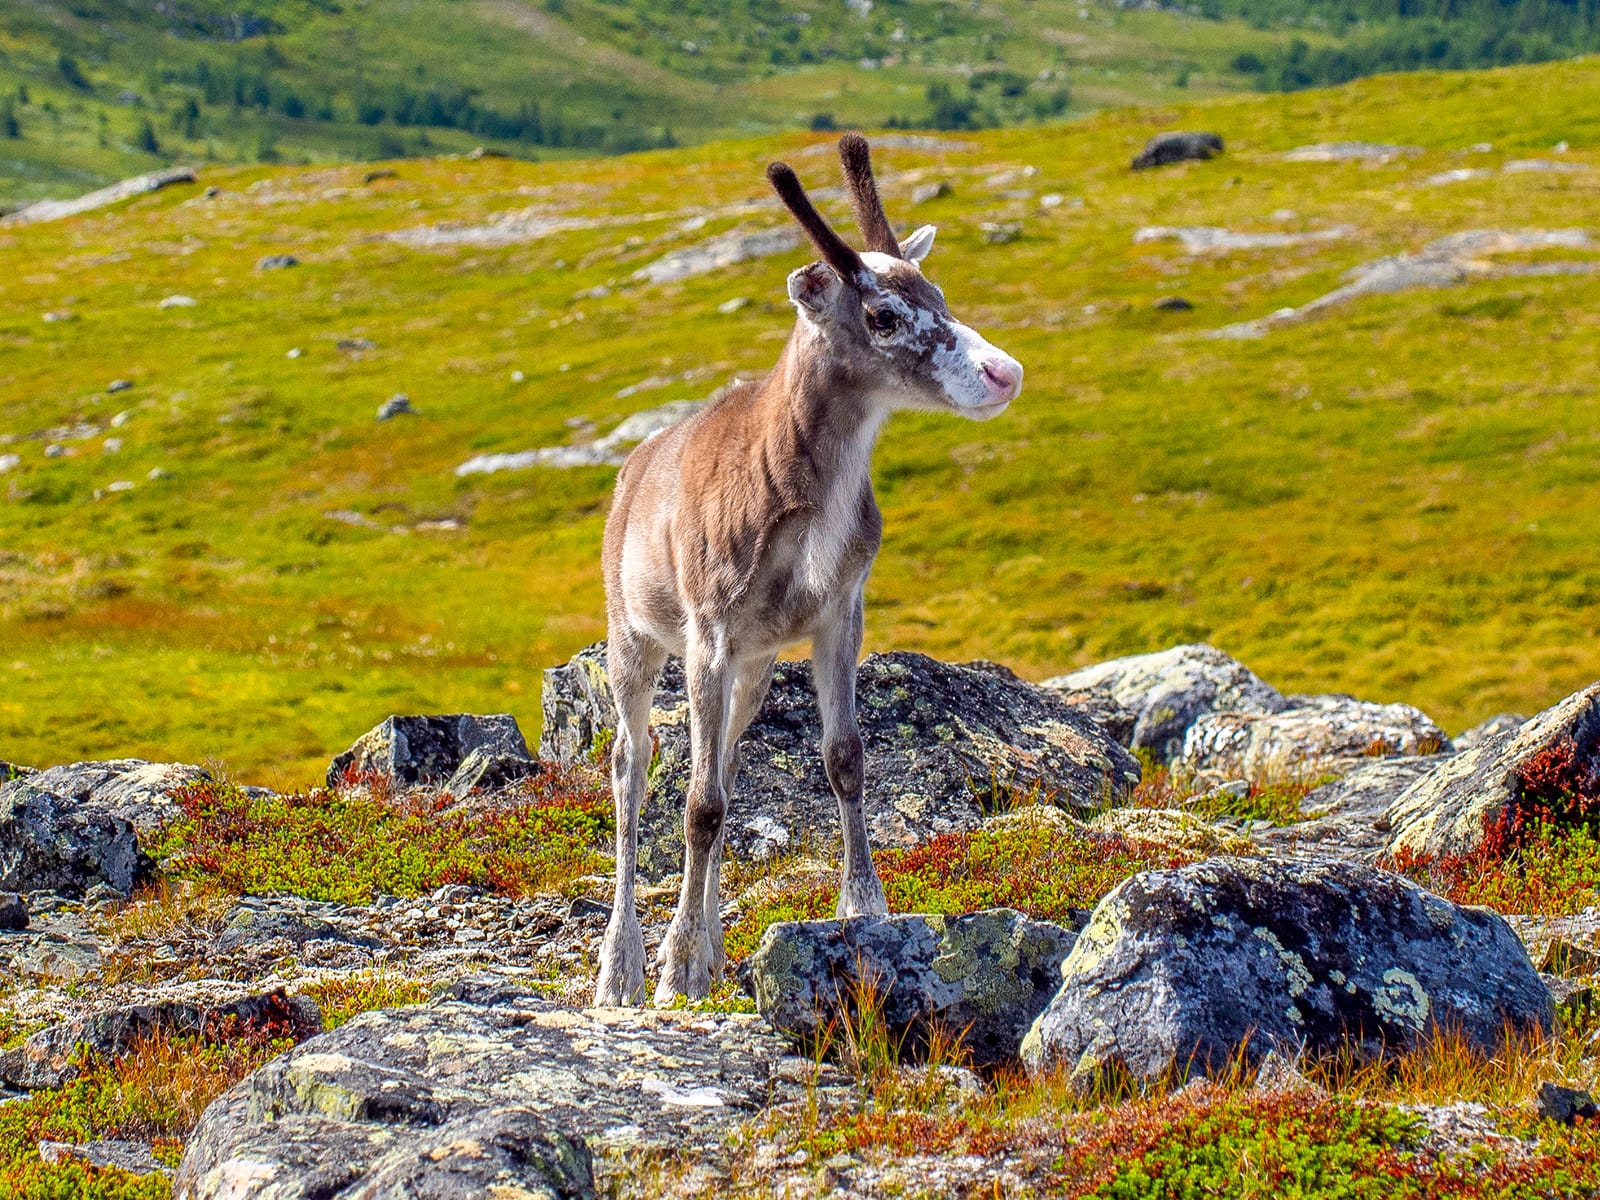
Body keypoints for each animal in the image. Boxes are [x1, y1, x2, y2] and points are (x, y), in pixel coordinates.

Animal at [594, 133, 1024, 1006]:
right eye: (883, 314)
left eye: (940, 291)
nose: (1005, 372)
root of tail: (630, 469)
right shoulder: (710, 626)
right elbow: (696, 804)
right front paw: (676, 966)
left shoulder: (838, 611)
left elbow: (842, 759)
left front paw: (863, 907)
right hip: (635, 633)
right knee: (632, 768)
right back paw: (621, 968)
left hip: (755, 666)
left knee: (724, 762)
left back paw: (716, 945)